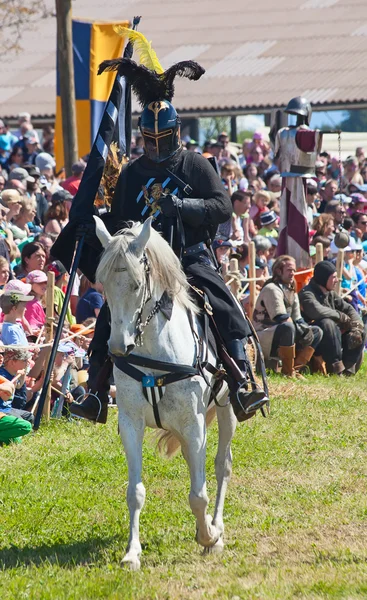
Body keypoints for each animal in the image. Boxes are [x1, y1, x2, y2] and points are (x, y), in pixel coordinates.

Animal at [95, 217, 237, 572]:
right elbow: (135, 492)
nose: (118, 347)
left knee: (222, 465)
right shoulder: (130, 424)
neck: (154, 355)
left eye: (136, 284)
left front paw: (209, 537)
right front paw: (132, 553)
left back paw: (217, 529)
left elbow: (198, 494)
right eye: (102, 283)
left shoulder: (194, 426)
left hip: (226, 408)